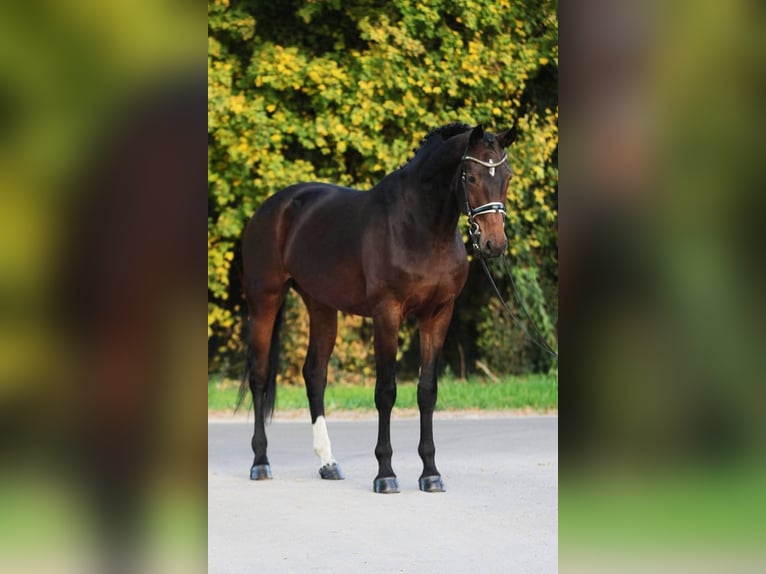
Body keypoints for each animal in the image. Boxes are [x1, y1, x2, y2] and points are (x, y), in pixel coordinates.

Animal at [240, 124, 516, 492]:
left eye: (507, 176)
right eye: (471, 177)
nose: (493, 244)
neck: (420, 228)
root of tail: (274, 206)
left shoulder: (438, 315)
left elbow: (427, 391)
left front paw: (430, 473)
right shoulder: (387, 314)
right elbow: (385, 391)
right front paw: (386, 474)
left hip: (321, 306)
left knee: (314, 374)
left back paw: (328, 463)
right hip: (264, 300)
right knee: (259, 376)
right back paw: (260, 462)